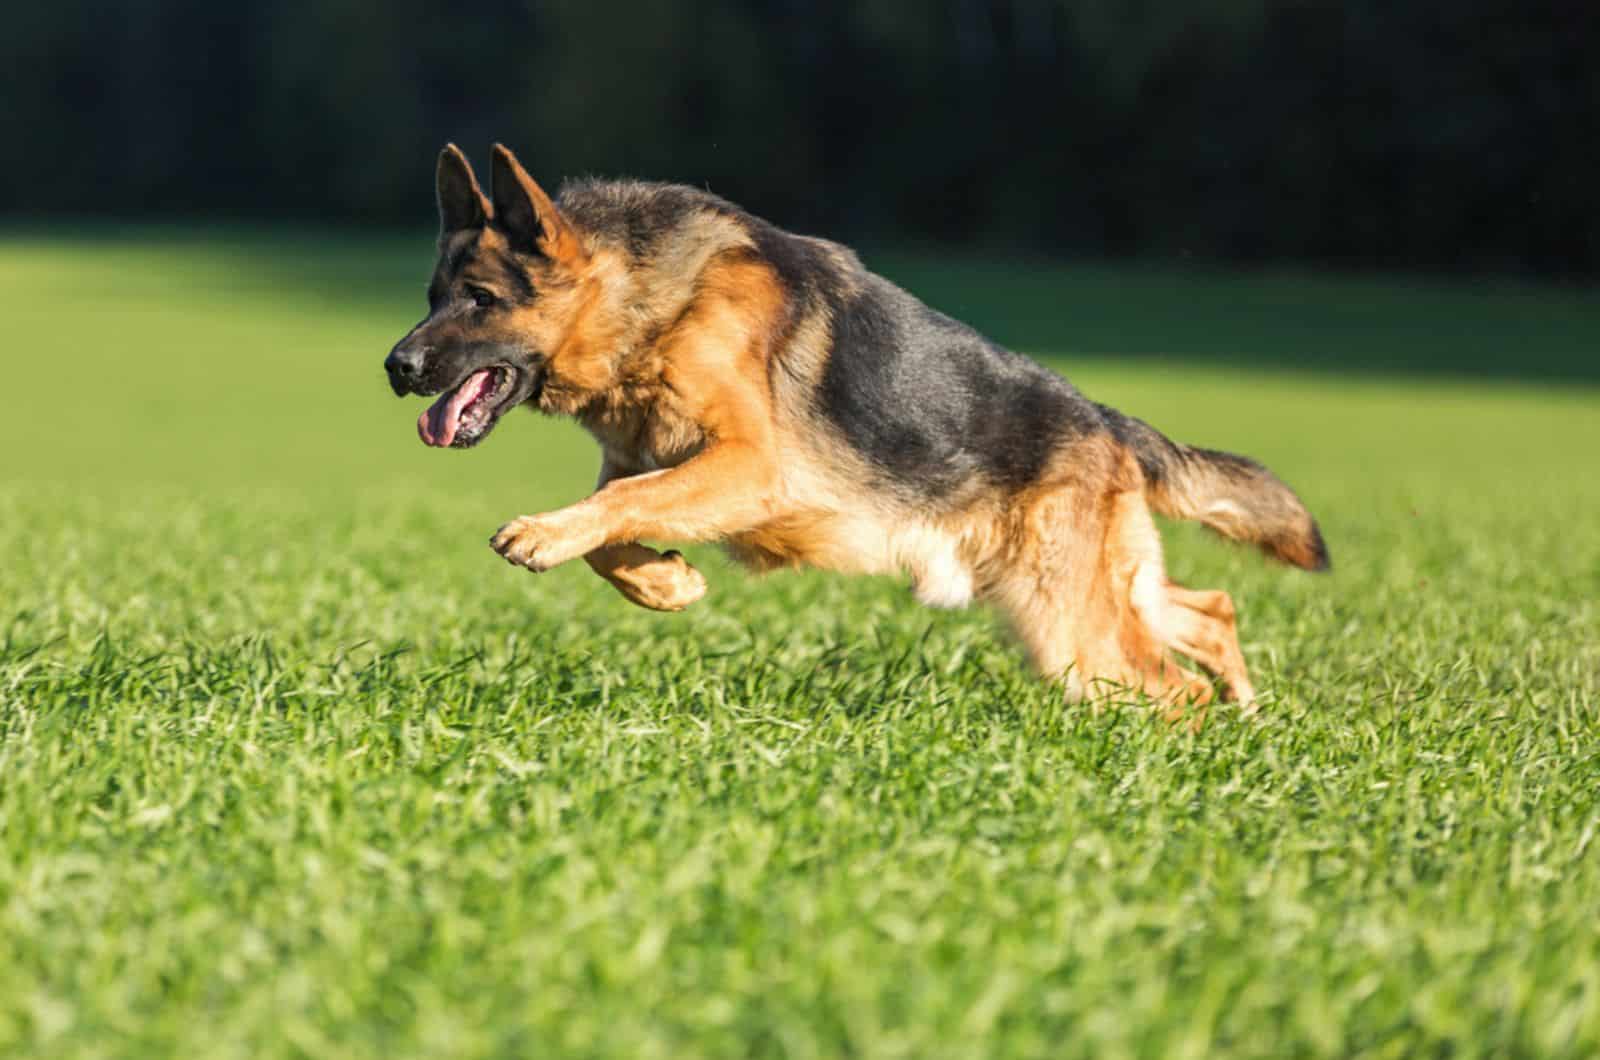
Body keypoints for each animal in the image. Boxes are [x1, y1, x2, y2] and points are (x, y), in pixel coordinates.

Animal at [384, 145, 1324, 714]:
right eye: (432, 297)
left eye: (480, 301)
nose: (395, 367)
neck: (647, 300)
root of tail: (1103, 421)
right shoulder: (641, 468)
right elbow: (616, 529)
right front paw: (667, 584)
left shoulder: (748, 465)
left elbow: (618, 511)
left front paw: (545, 537)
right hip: (1086, 595)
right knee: (1211, 611)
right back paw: (1250, 718)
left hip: (1071, 633)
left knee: (1176, 690)